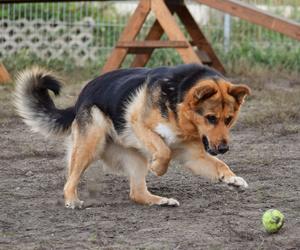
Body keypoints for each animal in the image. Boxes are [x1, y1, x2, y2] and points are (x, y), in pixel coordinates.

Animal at [15, 64, 252, 209]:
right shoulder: (139, 124)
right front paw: (158, 168)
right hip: (91, 144)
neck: (177, 100)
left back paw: (161, 201)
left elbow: (219, 164)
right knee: (70, 180)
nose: (224, 148)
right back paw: (72, 200)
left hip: (135, 159)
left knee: (137, 194)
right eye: (211, 118)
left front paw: (232, 179)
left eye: (228, 119)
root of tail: (81, 96)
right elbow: (164, 150)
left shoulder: (194, 155)